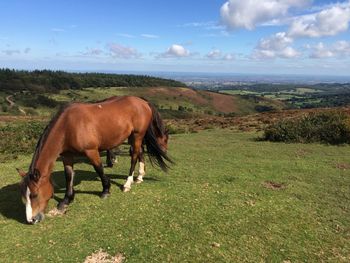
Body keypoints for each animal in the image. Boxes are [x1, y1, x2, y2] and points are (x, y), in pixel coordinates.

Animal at [18, 97, 171, 225]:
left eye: (34, 195)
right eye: (24, 196)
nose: (31, 220)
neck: (68, 126)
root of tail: (143, 102)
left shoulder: (91, 151)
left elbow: (99, 169)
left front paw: (106, 190)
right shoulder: (67, 155)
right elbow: (68, 176)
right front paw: (66, 201)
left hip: (137, 135)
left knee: (134, 156)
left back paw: (128, 183)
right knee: (139, 153)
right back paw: (139, 177)